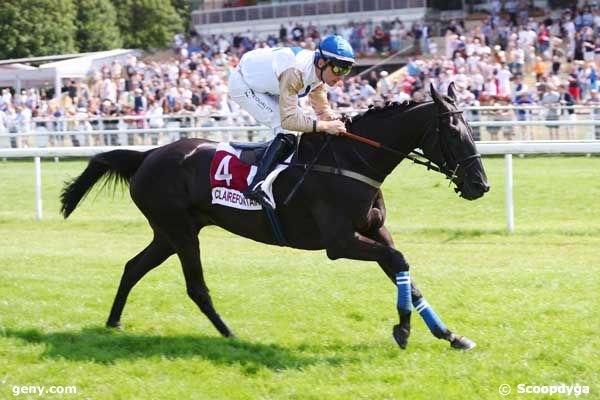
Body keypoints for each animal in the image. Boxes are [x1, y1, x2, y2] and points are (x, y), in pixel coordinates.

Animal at [59, 83, 488, 350]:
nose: (480, 184)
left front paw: (450, 335)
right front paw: (402, 329)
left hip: (167, 233)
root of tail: (148, 154)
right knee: (196, 288)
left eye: (472, 127)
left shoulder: (375, 232)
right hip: (181, 232)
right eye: (453, 132)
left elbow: (405, 272)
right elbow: (399, 262)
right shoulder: (340, 242)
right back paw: (232, 335)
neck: (352, 159)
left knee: (133, 267)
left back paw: (113, 323)